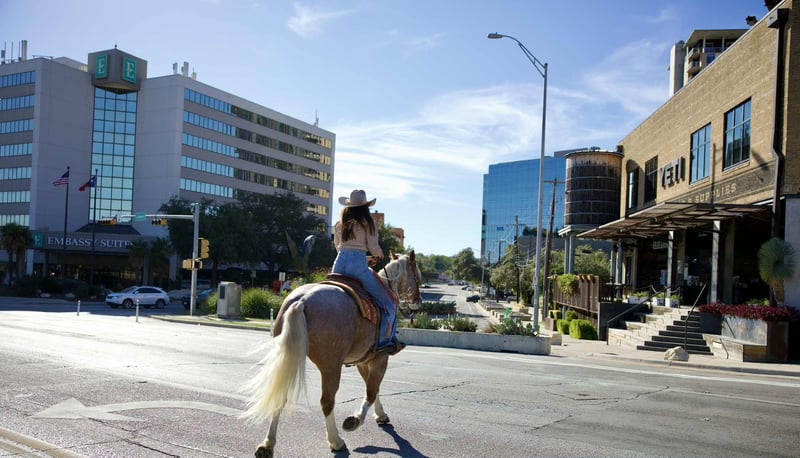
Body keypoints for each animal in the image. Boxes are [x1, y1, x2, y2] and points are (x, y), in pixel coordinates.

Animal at [242, 251, 422, 458]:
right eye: (417, 276)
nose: (418, 301)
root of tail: (301, 301)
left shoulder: (363, 361)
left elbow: (374, 388)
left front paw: (381, 415)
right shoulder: (380, 358)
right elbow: (371, 391)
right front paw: (355, 420)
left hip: (289, 358)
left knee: (280, 395)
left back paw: (267, 444)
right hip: (331, 366)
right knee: (327, 401)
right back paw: (336, 441)